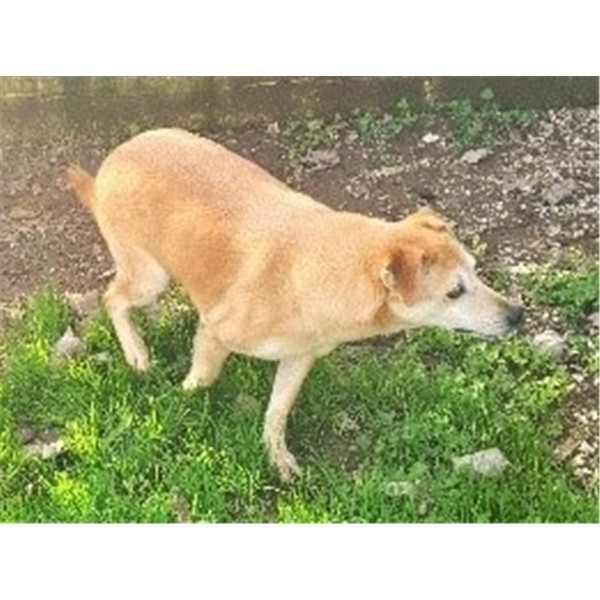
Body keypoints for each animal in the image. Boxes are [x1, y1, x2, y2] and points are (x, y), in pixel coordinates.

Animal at [67, 128, 524, 481]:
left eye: (477, 270)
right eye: (454, 292)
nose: (518, 315)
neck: (324, 270)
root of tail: (116, 156)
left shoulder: (299, 357)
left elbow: (278, 410)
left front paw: (277, 457)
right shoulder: (216, 332)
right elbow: (203, 379)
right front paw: (181, 402)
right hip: (150, 275)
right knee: (113, 298)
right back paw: (137, 353)